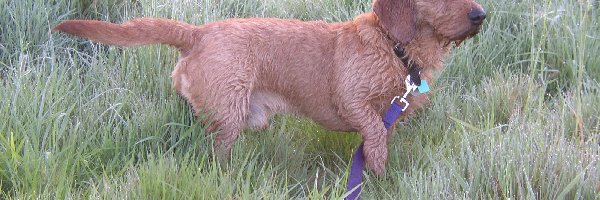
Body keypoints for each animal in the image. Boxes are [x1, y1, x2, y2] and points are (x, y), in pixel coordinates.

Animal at [55, 0, 488, 175]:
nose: (481, 14)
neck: (394, 46)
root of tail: (197, 33)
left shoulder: (390, 116)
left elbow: (380, 140)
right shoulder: (355, 104)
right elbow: (374, 141)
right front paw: (377, 178)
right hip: (228, 118)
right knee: (216, 157)